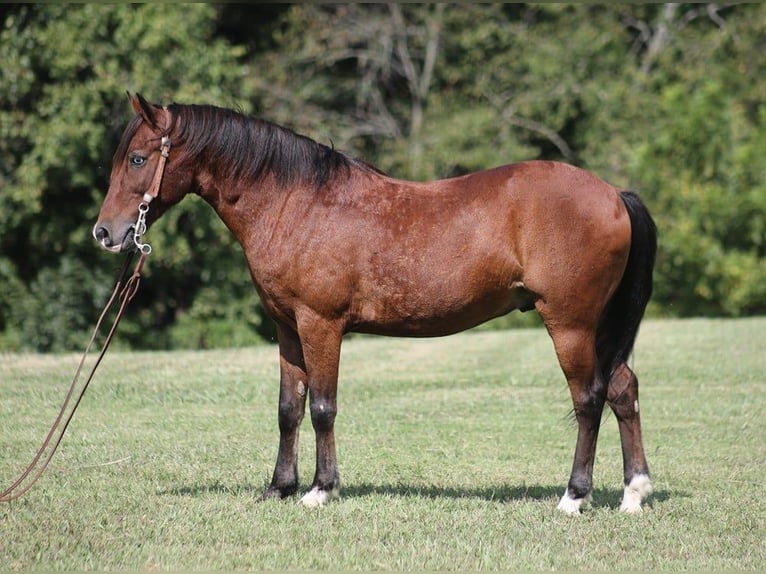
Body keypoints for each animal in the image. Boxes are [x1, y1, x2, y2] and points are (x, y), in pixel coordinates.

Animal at [94, 93, 657, 514]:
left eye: (138, 158)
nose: (106, 233)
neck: (296, 203)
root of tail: (614, 194)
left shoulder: (320, 325)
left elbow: (322, 407)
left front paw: (320, 490)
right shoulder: (286, 328)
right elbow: (288, 409)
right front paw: (279, 487)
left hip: (571, 325)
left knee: (588, 400)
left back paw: (574, 497)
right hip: (599, 328)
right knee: (622, 390)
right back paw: (633, 492)